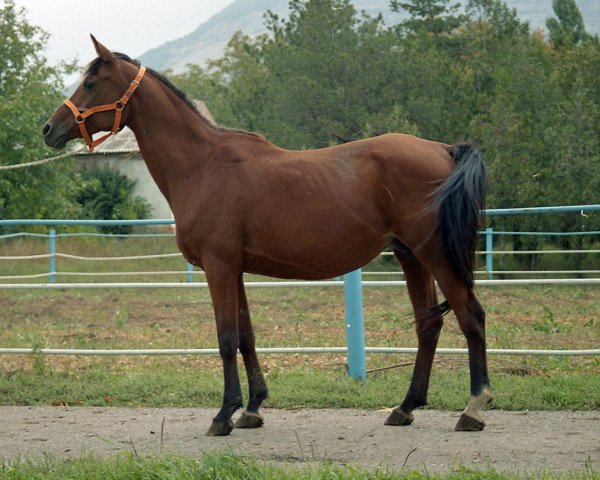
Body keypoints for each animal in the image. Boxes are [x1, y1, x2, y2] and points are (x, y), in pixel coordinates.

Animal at [43, 35, 492, 436]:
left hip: (435, 254)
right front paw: (253, 408)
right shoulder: (235, 269)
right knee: (428, 325)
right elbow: (247, 337)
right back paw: (405, 407)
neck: (202, 165)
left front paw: (223, 415)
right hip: (410, 256)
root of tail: (443, 149)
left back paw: (473, 409)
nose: (49, 128)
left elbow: (226, 338)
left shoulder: (218, 268)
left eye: (90, 83)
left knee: (471, 317)